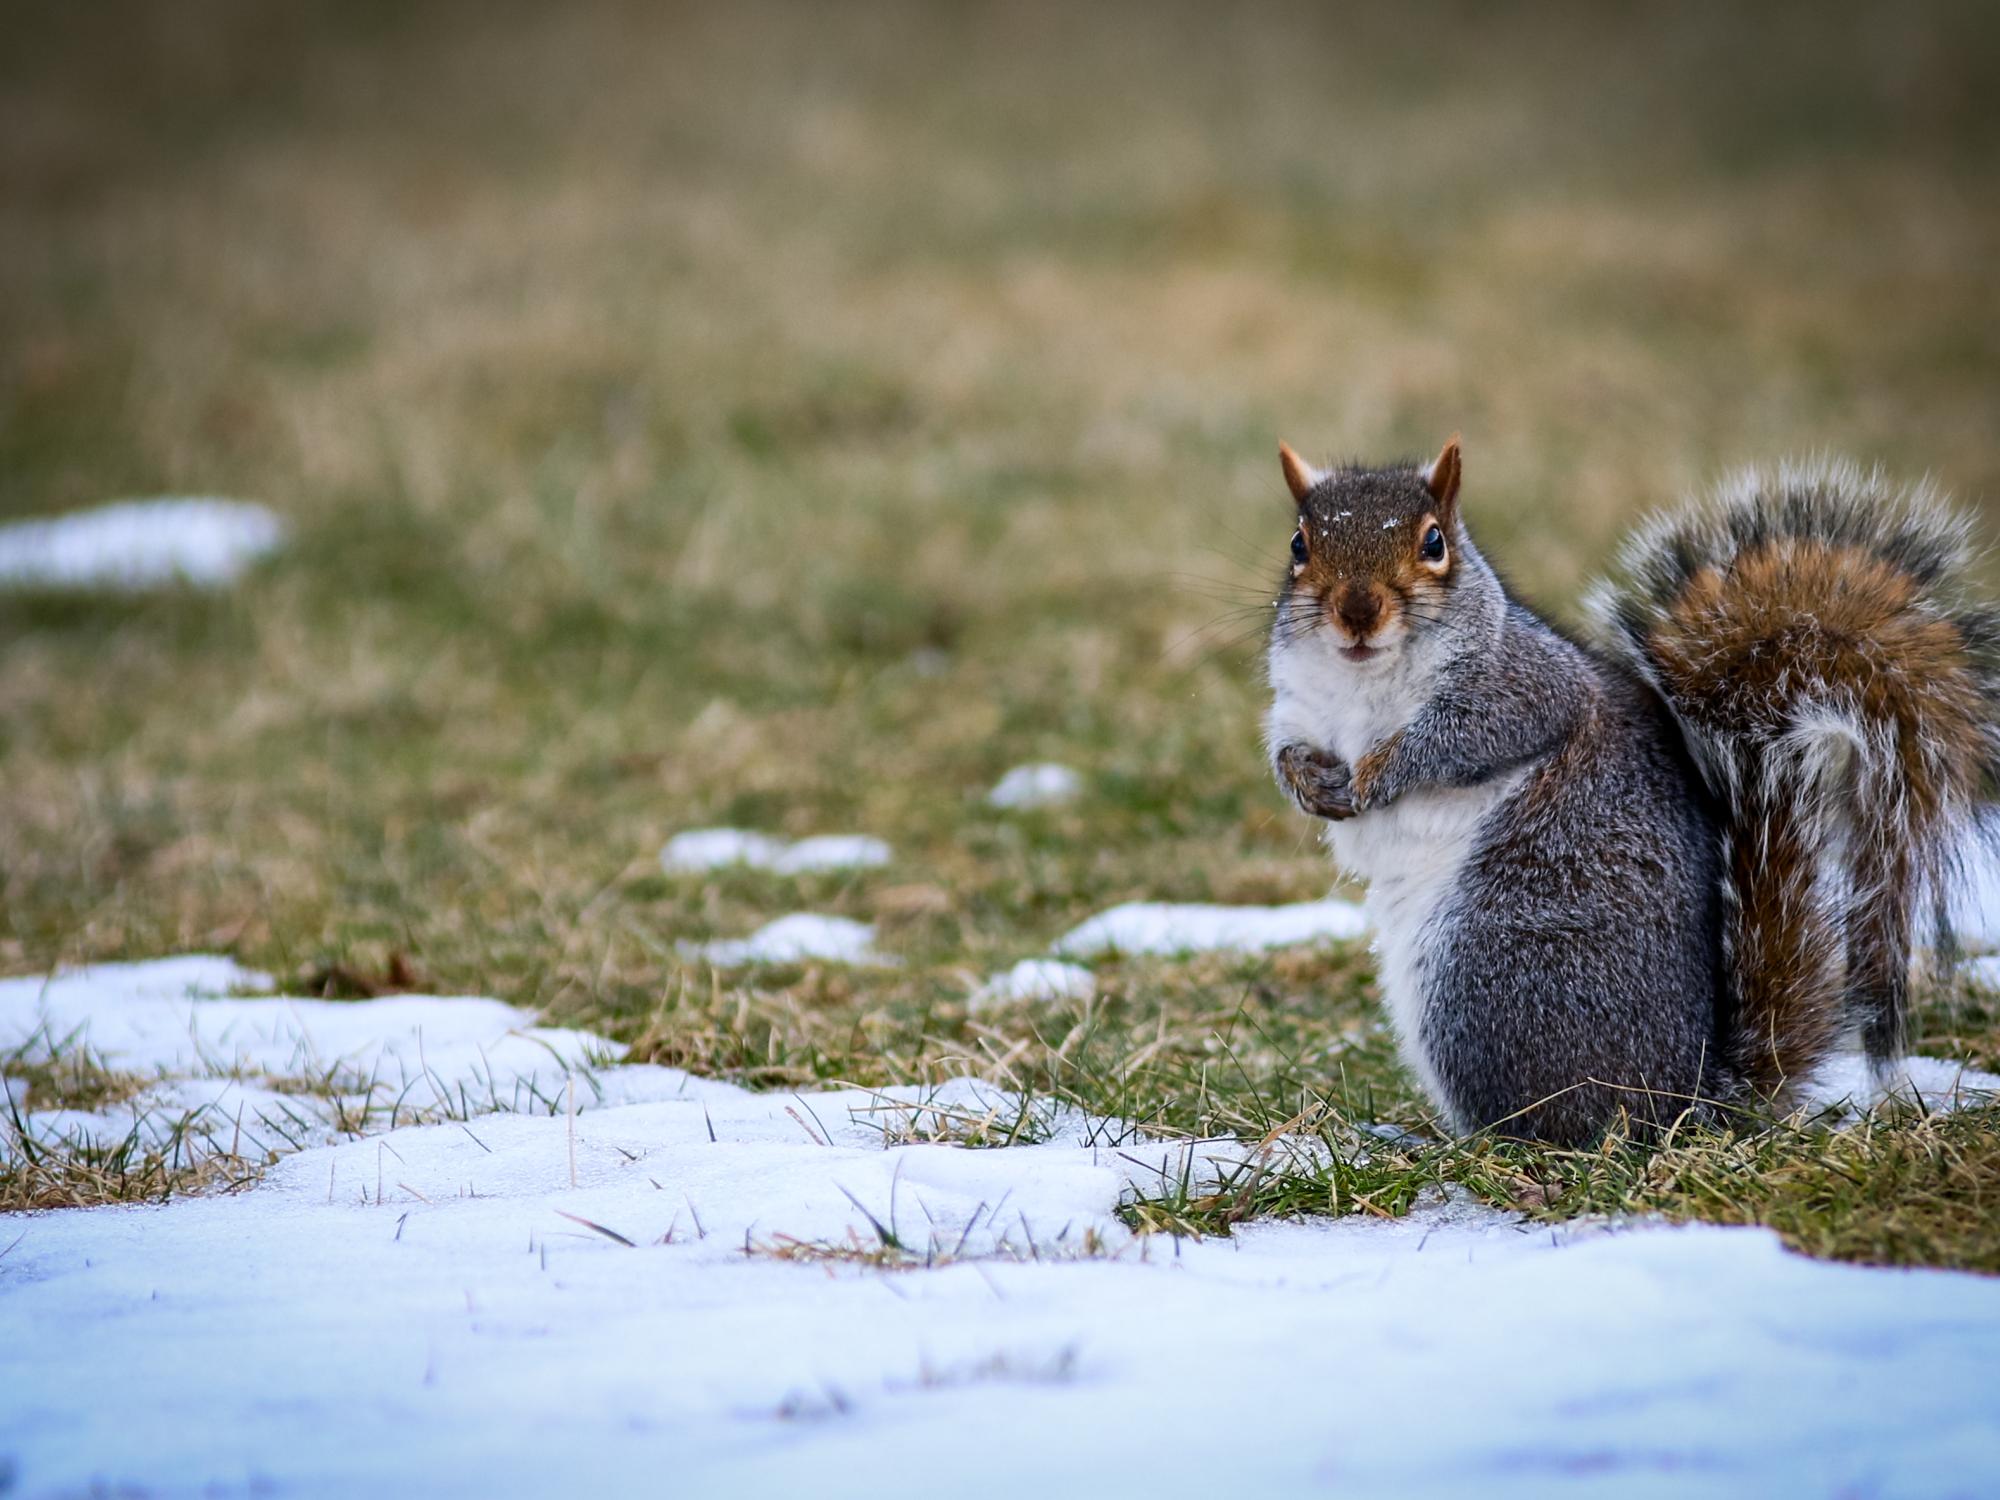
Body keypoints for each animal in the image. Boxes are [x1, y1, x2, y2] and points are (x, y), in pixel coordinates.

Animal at [1264, 437, 2000, 1146]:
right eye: (1299, 544)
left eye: (1433, 543)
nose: (1357, 612)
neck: (1363, 682)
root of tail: (1688, 1099)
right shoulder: (1300, 703)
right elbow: (1285, 748)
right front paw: (1307, 781)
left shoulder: (1525, 686)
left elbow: (1466, 736)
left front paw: (1380, 773)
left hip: (1490, 975)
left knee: (1557, 1126)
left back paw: (1455, 1146)